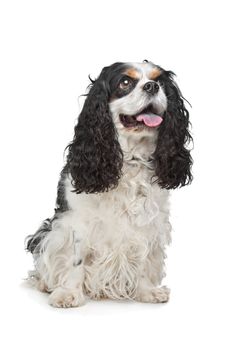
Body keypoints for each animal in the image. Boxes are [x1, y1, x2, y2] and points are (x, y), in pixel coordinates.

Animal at [26, 61, 193, 308]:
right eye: (125, 82)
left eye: (159, 81)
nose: (152, 87)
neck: (130, 157)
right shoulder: (76, 222)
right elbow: (75, 259)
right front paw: (68, 294)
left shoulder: (149, 222)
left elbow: (144, 255)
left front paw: (147, 291)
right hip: (47, 232)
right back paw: (45, 284)